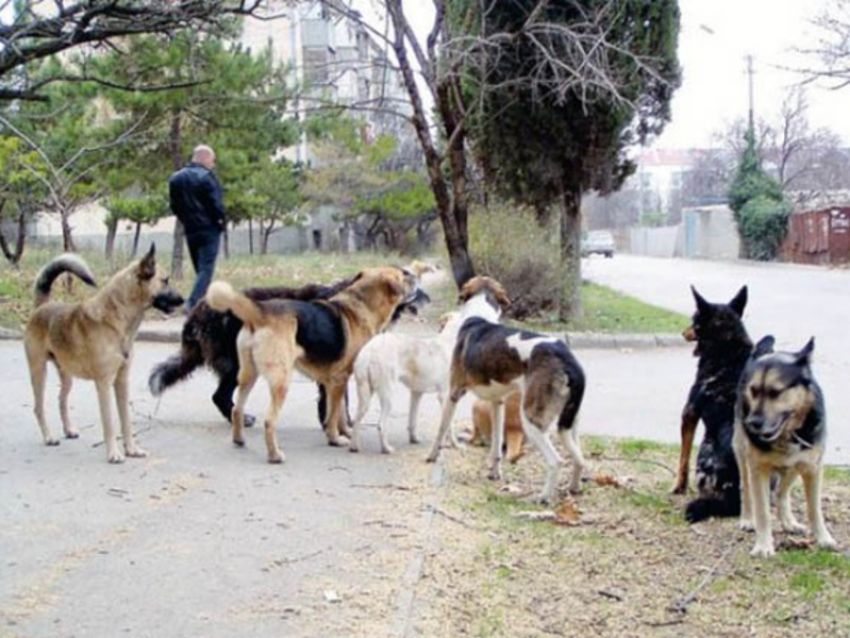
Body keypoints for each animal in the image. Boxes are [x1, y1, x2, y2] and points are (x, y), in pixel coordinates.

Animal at [24, 246, 184, 464]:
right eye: (165, 280)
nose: (184, 299)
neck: (116, 320)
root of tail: (41, 306)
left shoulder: (122, 382)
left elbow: (125, 421)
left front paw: (132, 449)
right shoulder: (104, 384)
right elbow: (109, 422)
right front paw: (114, 453)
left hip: (67, 376)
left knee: (61, 401)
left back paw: (68, 430)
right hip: (39, 372)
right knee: (38, 407)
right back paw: (49, 437)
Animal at [205, 268, 418, 462]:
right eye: (403, 275)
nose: (416, 277)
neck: (362, 304)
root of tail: (260, 313)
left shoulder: (337, 382)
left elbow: (340, 412)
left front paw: (345, 433)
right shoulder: (338, 380)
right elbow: (333, 415)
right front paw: (334, 439)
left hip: (248, 376)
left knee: (237, 409)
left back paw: (239, 440)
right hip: (281, 381)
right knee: (269, 421)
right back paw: (275, 455)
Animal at [348, 310, 458, 456]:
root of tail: (370, 349)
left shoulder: (416, 393)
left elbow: (412, 419)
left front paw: (414, 439)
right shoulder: (445, 396)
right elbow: (449, 423)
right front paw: (454, 444)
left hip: (364, 394)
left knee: (357, 419)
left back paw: (354, 447)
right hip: (388, 396)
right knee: (381, 424)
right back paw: (386, 449)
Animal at [422, 276, 584, 504]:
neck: (479, 316)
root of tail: (569, 362)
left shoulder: (453, 394)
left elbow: (441, 429)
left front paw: (432, 456)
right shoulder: (497, 403)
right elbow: (497, 445)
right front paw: (494, 473)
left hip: (532, 420)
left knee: (556, 461)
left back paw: (543, 497)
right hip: (569, 425)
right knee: (580, 459)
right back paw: (574, 488)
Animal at [668, 286, 748, 524]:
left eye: (695, 320)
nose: (683, 333)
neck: (728, 349)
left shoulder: (689, 412)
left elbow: (683, 458)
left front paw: (679, 486)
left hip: (705, 450)